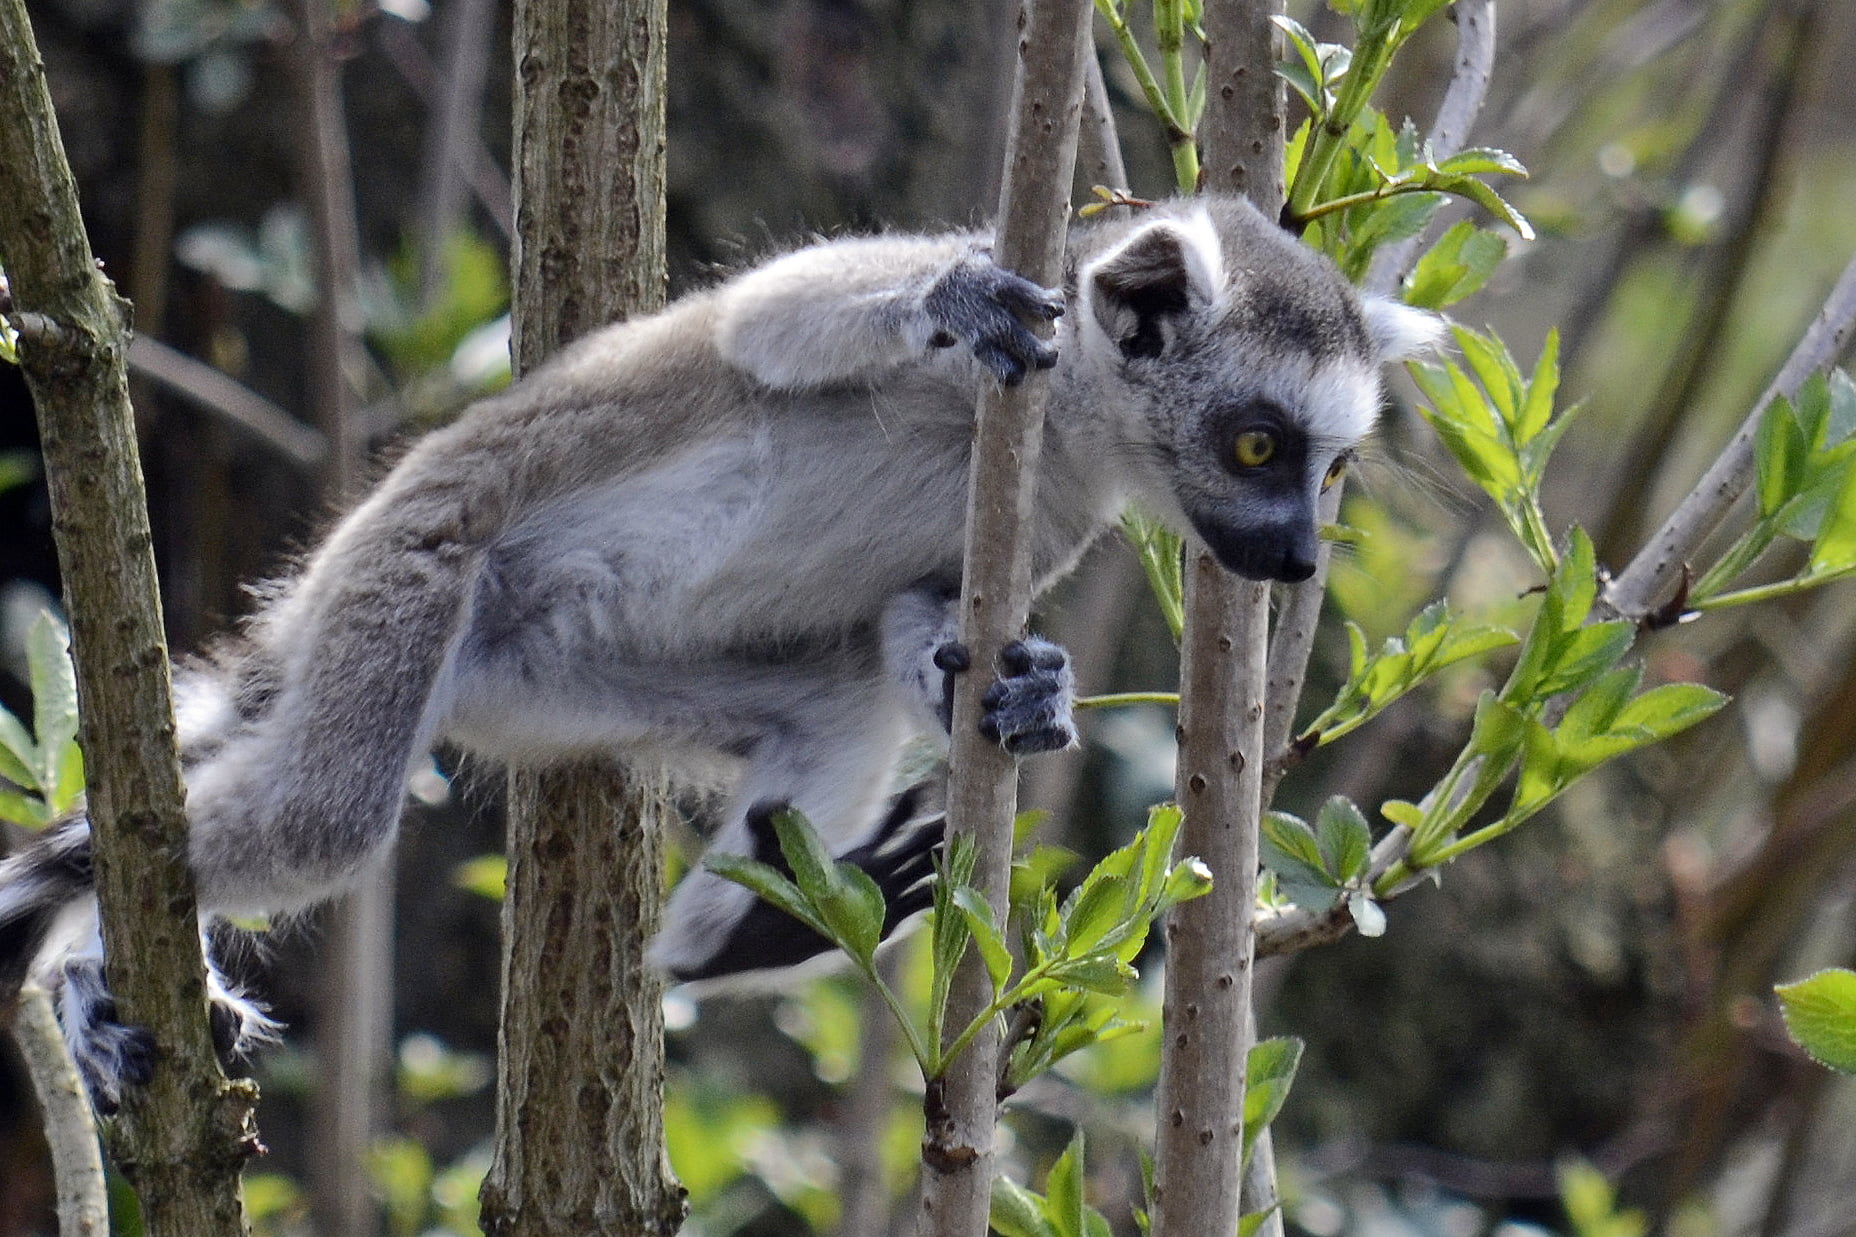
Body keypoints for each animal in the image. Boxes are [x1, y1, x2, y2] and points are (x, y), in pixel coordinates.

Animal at [0, 195, 1439, 1111]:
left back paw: (735, 936)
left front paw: (1029, 693)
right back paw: (77, 938)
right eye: (1257, 445)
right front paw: (952, 295)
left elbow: (913, 623)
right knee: (320, 816)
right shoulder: (1001, 390)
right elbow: (767, 327)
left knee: (839, 702)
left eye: (1329, 469)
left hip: (553, 688)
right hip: (407, 576)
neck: (1073, 426)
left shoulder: (1039, 521)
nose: (1295, 560)